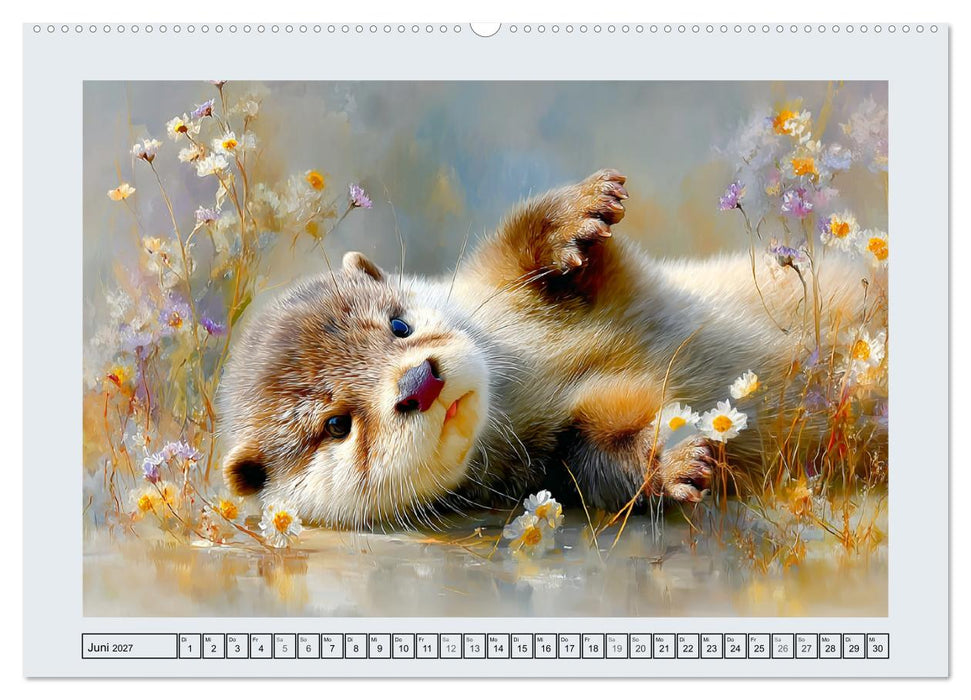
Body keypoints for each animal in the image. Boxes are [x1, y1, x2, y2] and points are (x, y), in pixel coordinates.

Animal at [218, 169, 876, 528]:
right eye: (336, 425)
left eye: (398, 326)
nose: (419, 382)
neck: (527, 373)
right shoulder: (549, 466)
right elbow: (601, 464)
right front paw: (672, 461)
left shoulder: (494, 280)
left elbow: (522, 241)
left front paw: (579, 212)